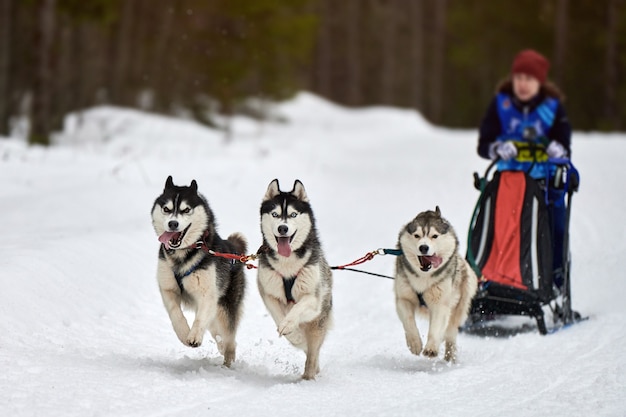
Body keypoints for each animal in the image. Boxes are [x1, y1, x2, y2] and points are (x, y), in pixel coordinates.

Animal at [151, 175, 246, 364]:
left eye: (186, 210)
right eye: (166, 209)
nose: (173, 223)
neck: (182, 254)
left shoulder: (207, 294)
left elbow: (200, 318)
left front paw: (194, 336)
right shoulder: (168, 289)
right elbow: (175, 313)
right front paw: (183, 333)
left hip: (224, 309)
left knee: (230, 339)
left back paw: (228, 361)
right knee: (219, 334)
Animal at [256, 179, 332, 380]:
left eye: (293, 214)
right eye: (275, 214)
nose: (283, 228)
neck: (287, 264)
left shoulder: (313, 299)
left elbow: (298, 307)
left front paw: (290, 324)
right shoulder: (268, 292)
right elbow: (277, 314)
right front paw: (290, 331)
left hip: (318, 323)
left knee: (312, 353)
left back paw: (309, 376)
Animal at [392, 206, 476, 360]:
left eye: (434, 236)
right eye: (417, 236)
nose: (423, 247)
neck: (424, 277)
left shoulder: (441, 304)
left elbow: (436, 328)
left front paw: (431, 347)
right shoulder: (403, 298)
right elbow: (408, 321)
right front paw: (414, 343)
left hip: (458, 306)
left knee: (450, 333)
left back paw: (449, 357)